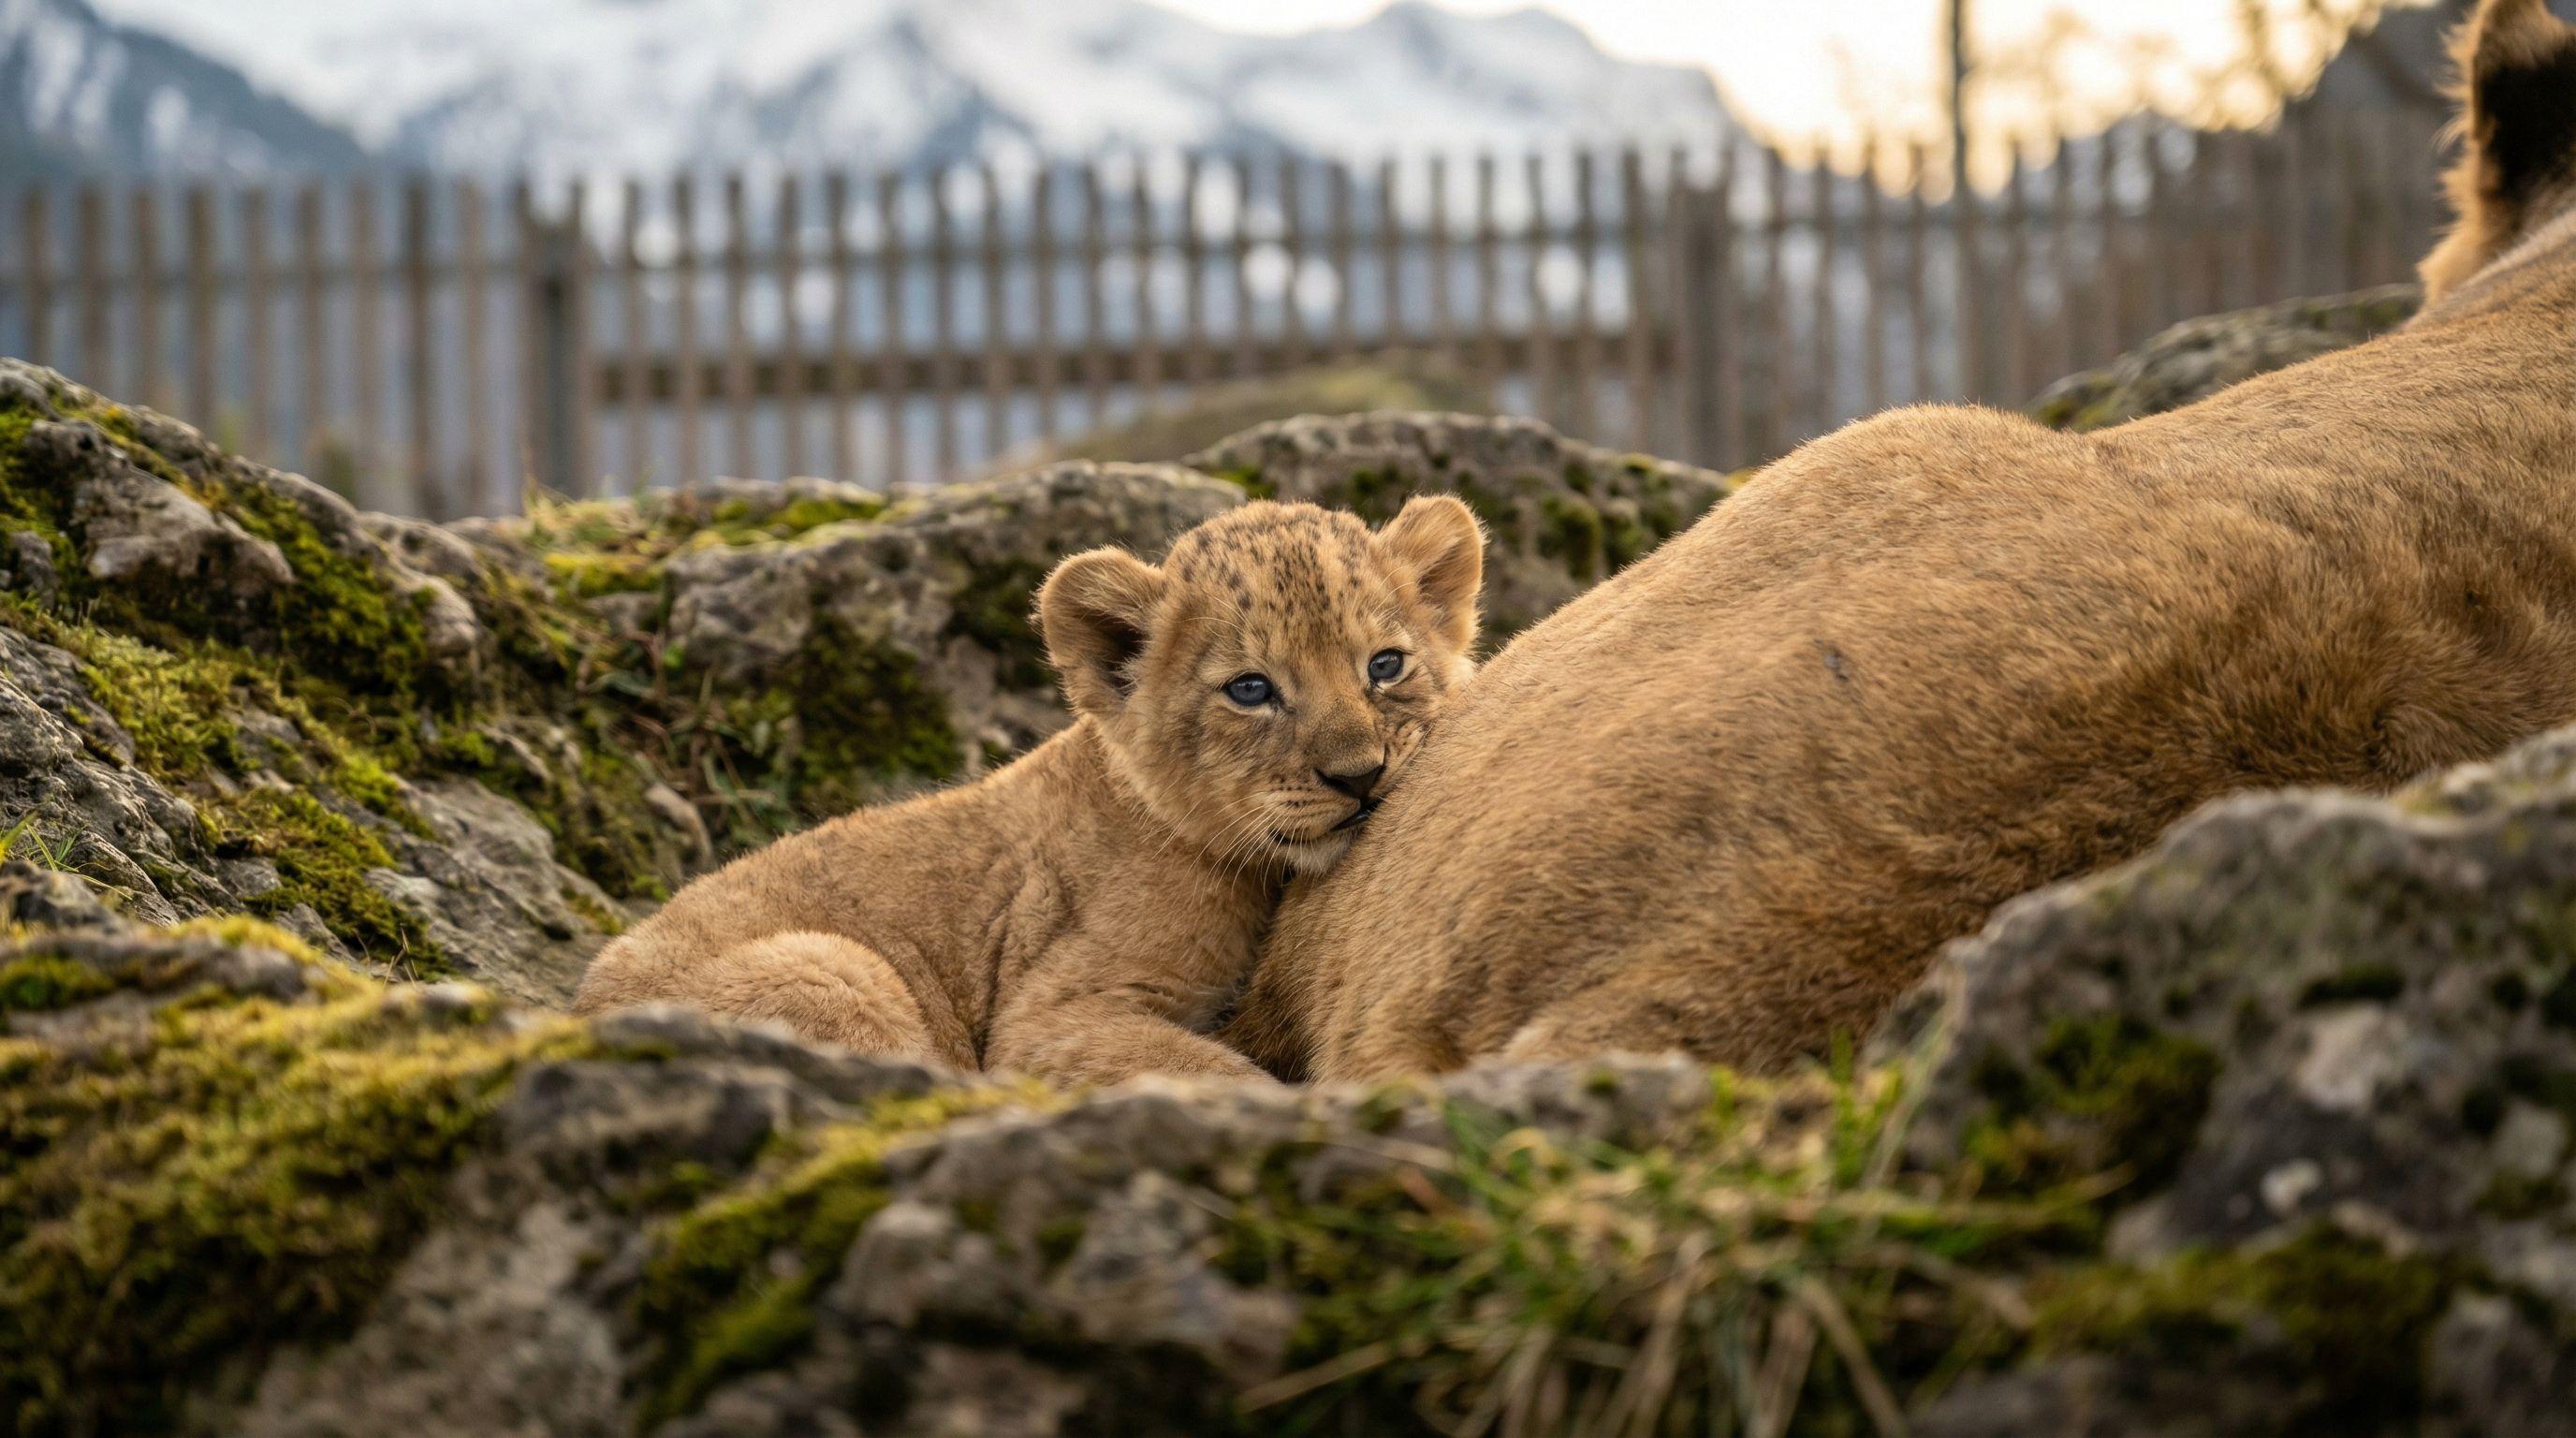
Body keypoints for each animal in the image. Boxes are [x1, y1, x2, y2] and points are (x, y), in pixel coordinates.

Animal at [574, 496, 1483, 1086]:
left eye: (1385, 665)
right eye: (1251, 690)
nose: (1360, 775)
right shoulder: (1050, 1018)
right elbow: (1216, 1074)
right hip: (832, 966)